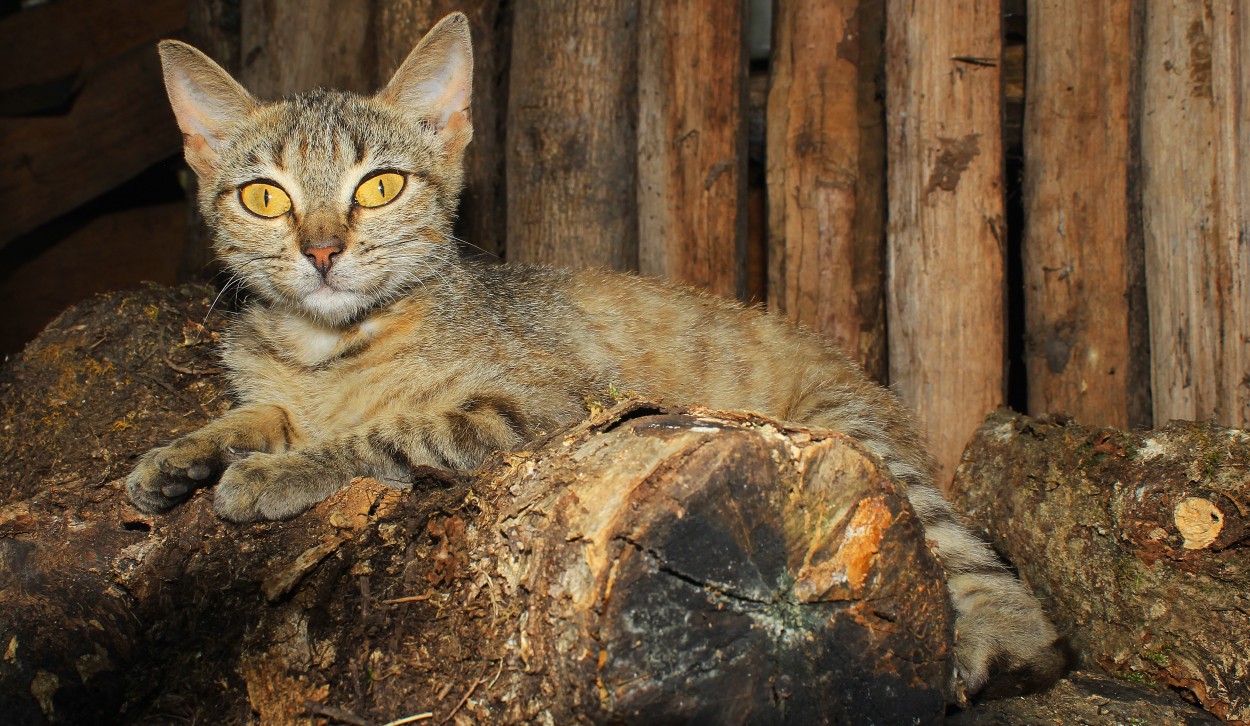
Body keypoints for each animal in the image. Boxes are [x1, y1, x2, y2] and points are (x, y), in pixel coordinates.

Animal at [129, 11, 1065, 699]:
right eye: (263, 197)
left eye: (381, 186)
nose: (321, 251)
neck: (329, 346)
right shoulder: (285, 381)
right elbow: (260, 410)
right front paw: (181, 456)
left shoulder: (543, 409)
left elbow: (392, 433)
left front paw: (275, 472)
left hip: (863, 441)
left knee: (982, 574)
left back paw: (988, 655)